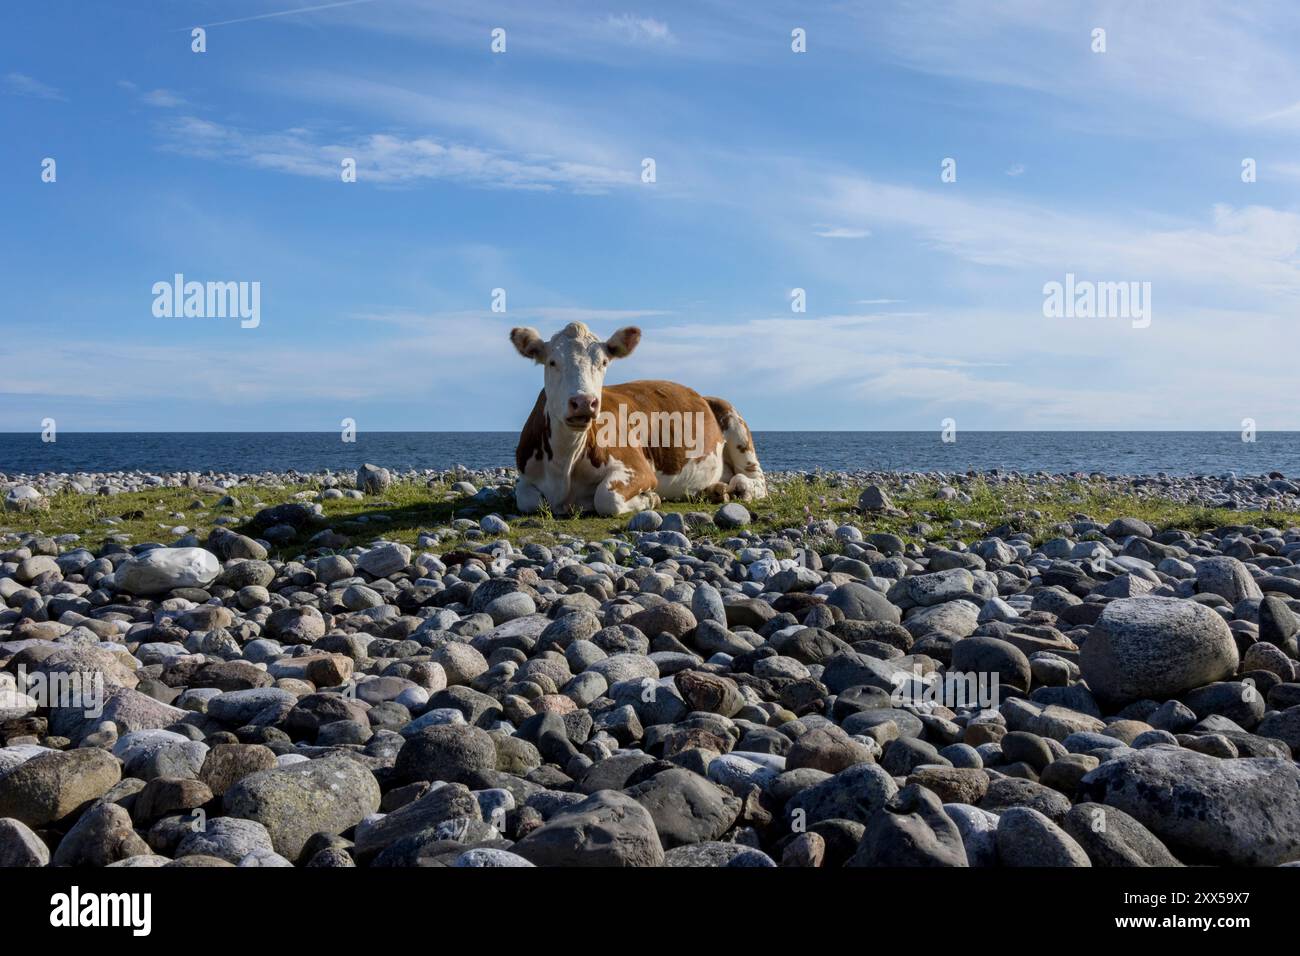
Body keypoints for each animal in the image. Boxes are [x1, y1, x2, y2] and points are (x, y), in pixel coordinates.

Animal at [511, 322, 767, 516]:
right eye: (552, 362)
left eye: (603, 362)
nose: (584, 402)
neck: (564, 463)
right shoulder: (525, 476)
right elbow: (528, 500)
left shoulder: (638, 469)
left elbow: (606, 498)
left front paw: (651, 499)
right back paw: (714, 489)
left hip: (733, 421)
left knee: (755, 480)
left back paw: (737, 488)